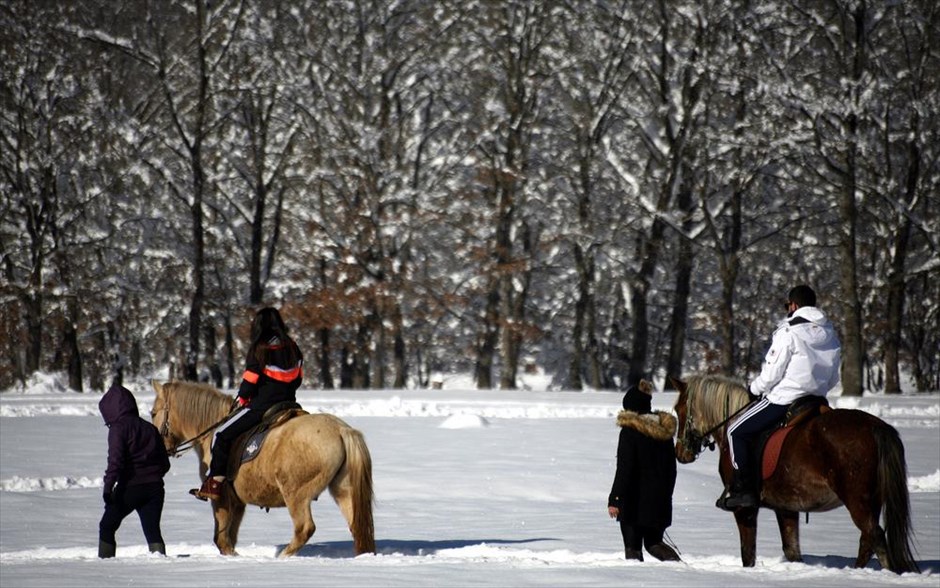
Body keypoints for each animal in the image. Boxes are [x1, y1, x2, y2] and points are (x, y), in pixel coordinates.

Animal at [151, 382, 374, 556]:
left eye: (153, 413)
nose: (161, 450)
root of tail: (341, 430)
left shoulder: (221, 498)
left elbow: (222, 539)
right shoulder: (237, 502)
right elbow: (230, 537)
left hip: (295, 494)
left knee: (304, 528)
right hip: (343, 490)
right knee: (357, 526)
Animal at [668, 374, 916, 572]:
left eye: (679, 409)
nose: (680, 453)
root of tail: (876, 427)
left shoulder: (744, 509)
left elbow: (748, 554)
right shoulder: (787, 507)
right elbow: (792, 551)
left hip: (857, 501)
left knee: (875, 538)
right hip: (872, 501)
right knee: (869, 541)